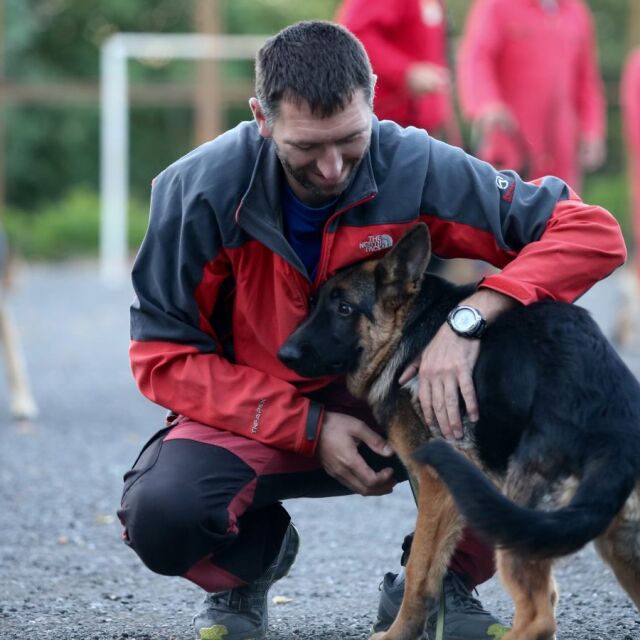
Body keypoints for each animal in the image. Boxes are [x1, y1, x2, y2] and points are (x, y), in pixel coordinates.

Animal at [278, 224, 640, 640]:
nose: (283, 354)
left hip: (520, 525)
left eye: (344, 309)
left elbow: (419, 571)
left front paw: (399, 633)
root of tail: (614, 427)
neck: (412, 325)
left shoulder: (436, 484)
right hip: (612, 544)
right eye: (316, 303)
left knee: (539, 617)